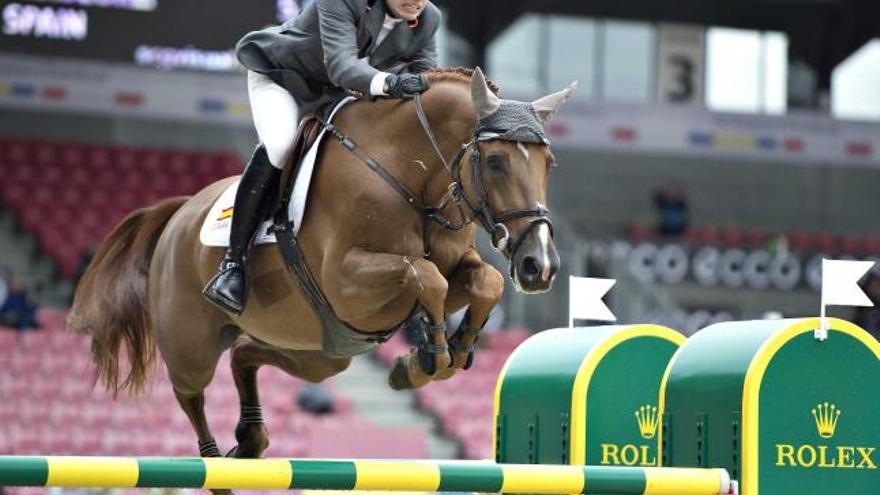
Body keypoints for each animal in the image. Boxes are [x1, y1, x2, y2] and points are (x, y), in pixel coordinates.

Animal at [70, 68, 576, 466]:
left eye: (550, 163)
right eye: (496, 161)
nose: (540, 265)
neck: (410, 177)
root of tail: (180, 211)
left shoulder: (444, 273)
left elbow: (484, 281)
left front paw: (443, 353)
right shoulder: (347, 282)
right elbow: (423, 274)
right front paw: (431, 355)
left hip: (322, 354)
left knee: (244, 354)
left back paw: (251, 439)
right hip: (192, 344)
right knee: (190, 393)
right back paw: (216, 463)